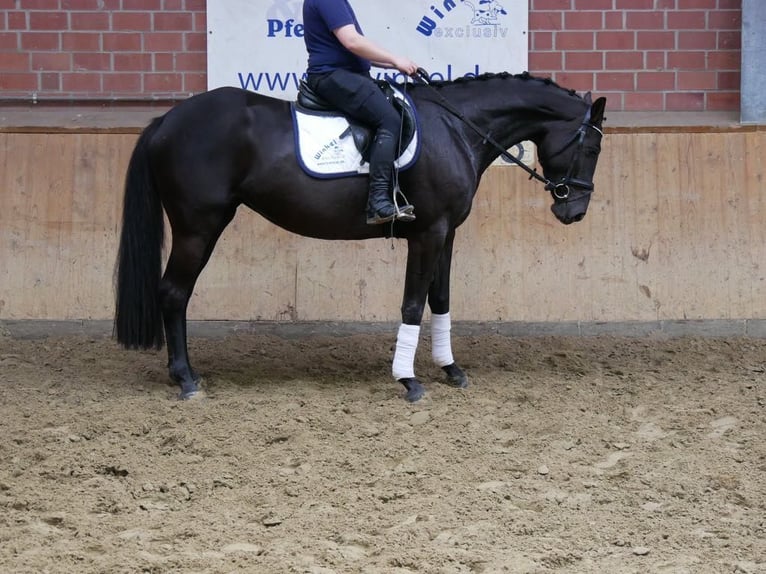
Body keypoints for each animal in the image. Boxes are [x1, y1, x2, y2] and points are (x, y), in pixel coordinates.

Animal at [115, 72, 608, 402]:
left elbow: (441, 299)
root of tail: (167, 121)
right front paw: (408, 380)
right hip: (198, 227)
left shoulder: (446, 232)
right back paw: (186, 379)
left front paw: (451, 369)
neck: (457, 129)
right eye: (590, 146)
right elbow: (412, 303)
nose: (575, 211)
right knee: (174, 293)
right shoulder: (427, 233)